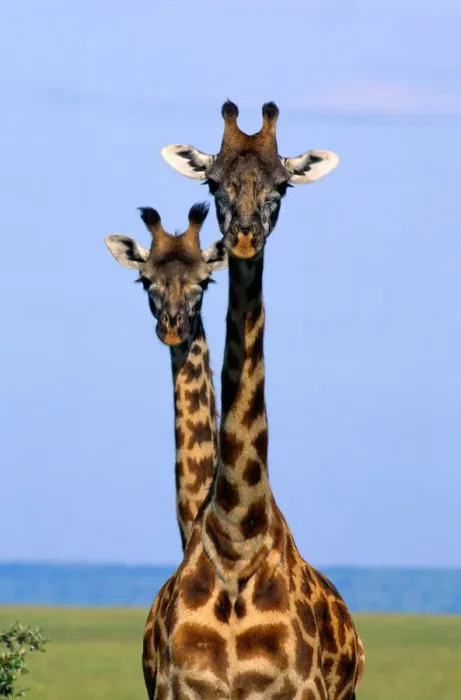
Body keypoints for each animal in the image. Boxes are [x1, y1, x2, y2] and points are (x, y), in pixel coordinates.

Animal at [141, 103, 364, 699]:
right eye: (212, 182)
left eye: (282, 185)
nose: (244, 237)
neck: (238, 538)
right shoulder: (177, 687)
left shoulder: (302, 690)